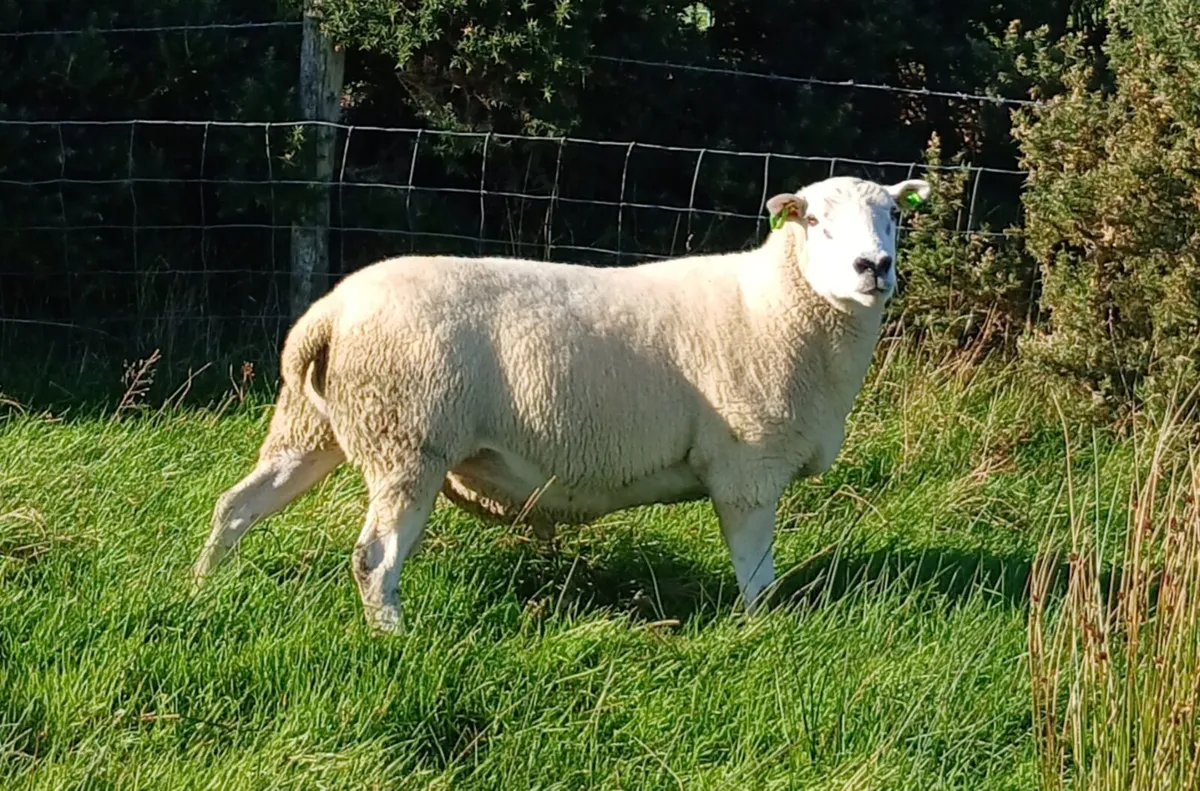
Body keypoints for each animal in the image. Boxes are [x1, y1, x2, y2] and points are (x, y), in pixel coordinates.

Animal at [191, 174, 932, 631]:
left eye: (896, 217)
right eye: (817, 223)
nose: (875, 267)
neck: (777, 304)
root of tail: (330, 312)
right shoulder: (747, 467)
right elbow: (756, 573)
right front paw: (761, 629)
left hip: (316, 425)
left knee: (239, 504)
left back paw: (203, 586)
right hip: (408, 439)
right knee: (374, 558)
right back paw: (395, 636)